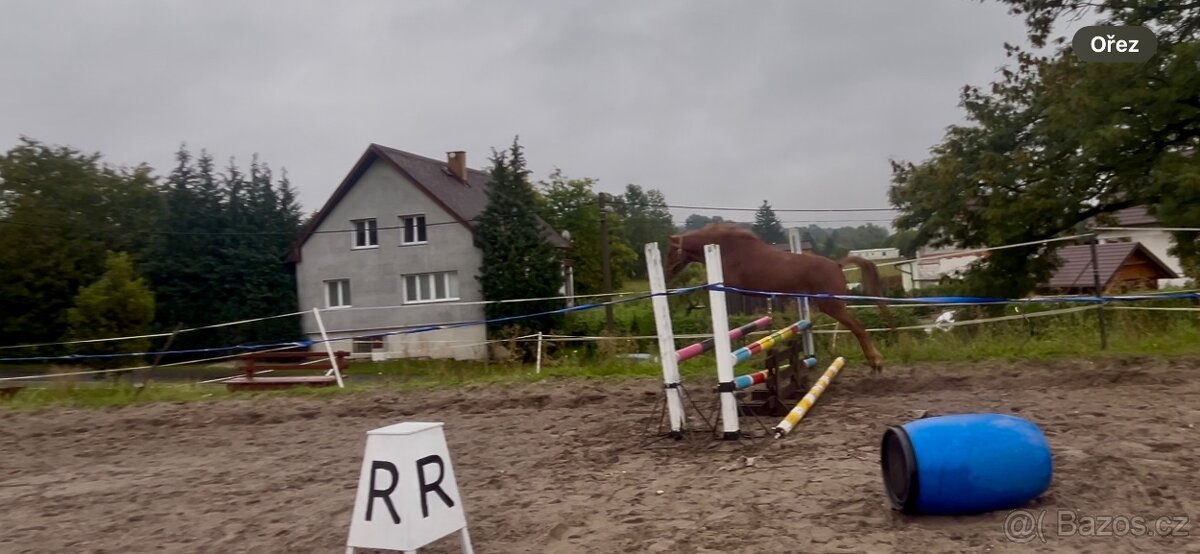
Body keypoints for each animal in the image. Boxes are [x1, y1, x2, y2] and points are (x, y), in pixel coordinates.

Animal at [664, 223, 895, 373]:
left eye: (671, 252)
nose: (666, 274)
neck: (727, 248)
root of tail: (837, 265)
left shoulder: (729, 285)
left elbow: (705, 287)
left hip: (832, 306)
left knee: (858, 328)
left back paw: (876, 362)